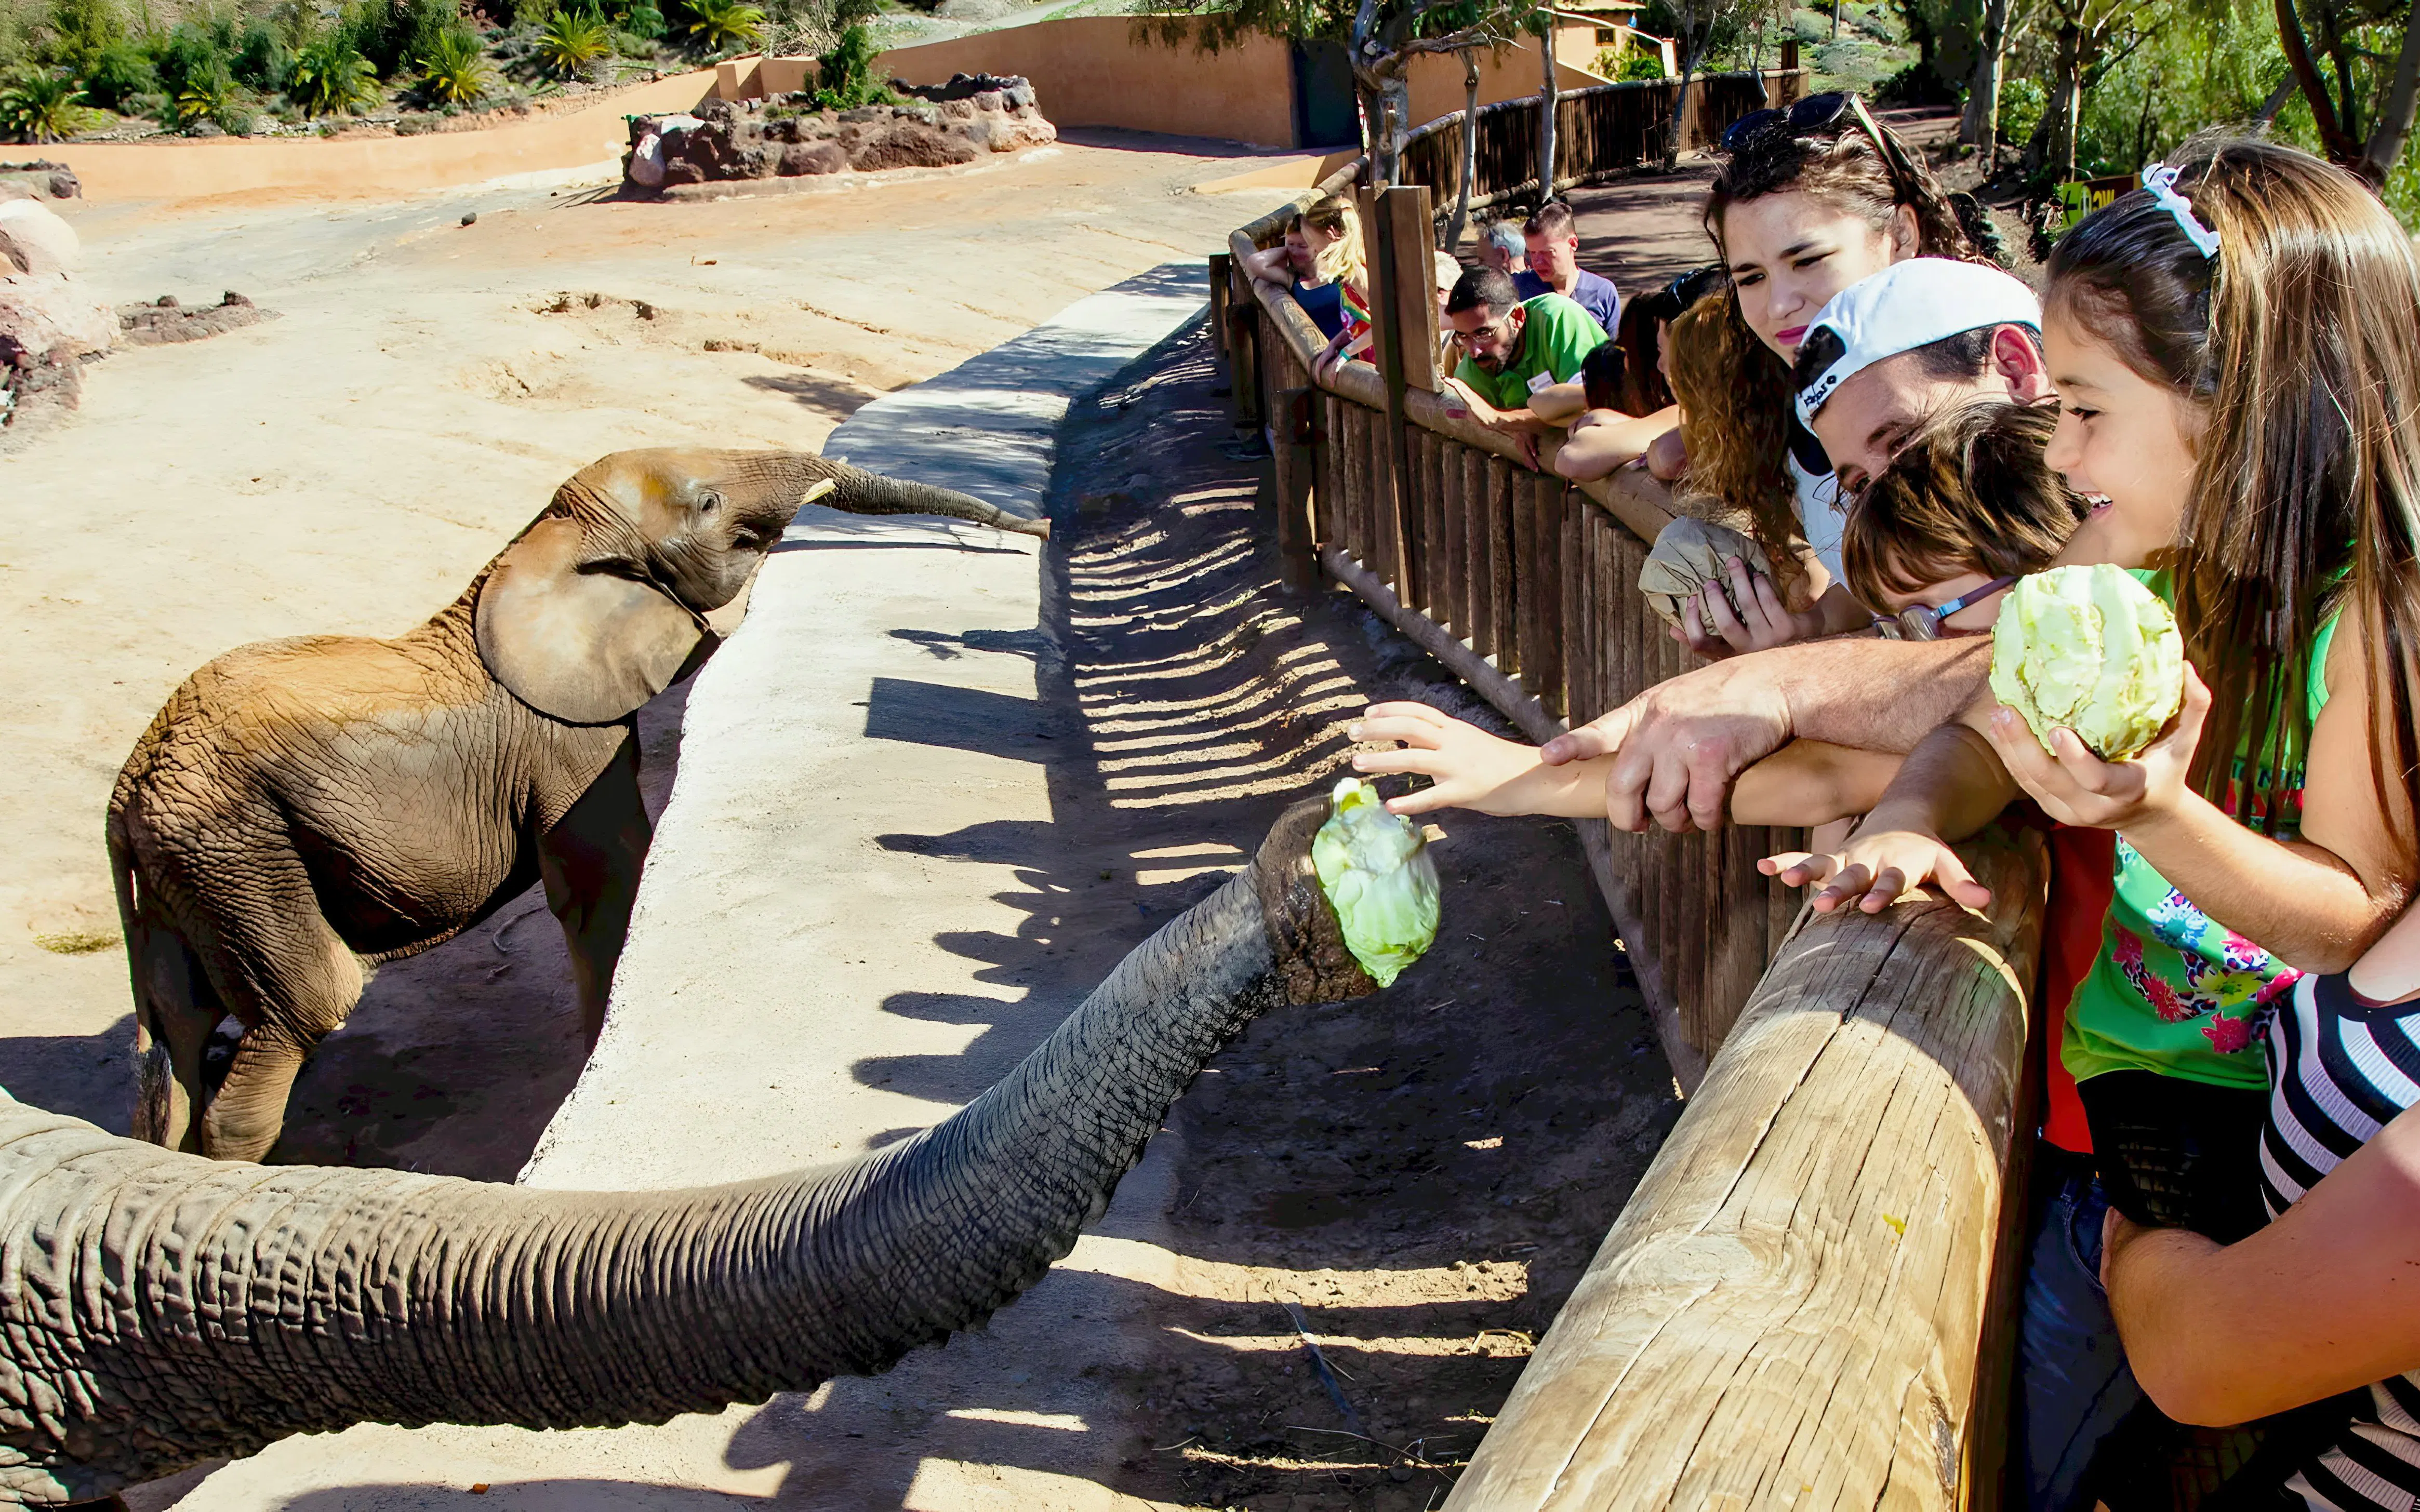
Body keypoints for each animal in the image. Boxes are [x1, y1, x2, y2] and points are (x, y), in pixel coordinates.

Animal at [109, 446, 1049, 1164]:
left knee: (181, 1034)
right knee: (304, 1010)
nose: (1038, 528)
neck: (538, 544)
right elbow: (606, 879)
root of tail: (126, 791)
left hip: (186, 873)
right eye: (709, 504)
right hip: (239, 849)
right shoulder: (564, 738)